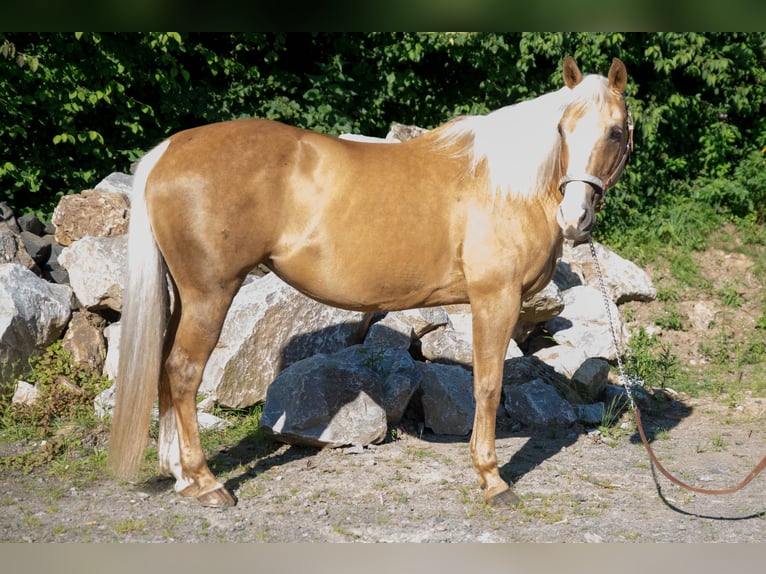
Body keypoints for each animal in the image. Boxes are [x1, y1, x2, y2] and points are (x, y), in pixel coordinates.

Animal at [109, 57, 636, 508]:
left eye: (614, 131)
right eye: (563, 130)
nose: (575, 219)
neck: (507, 185)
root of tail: (169, 150)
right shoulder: (495, 299)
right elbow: (488, 385)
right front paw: (492, 479)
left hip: (185, 296)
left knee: (164, 366)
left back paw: (180, 475)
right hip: (210, 294)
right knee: (182, 371)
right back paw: (204, 482)